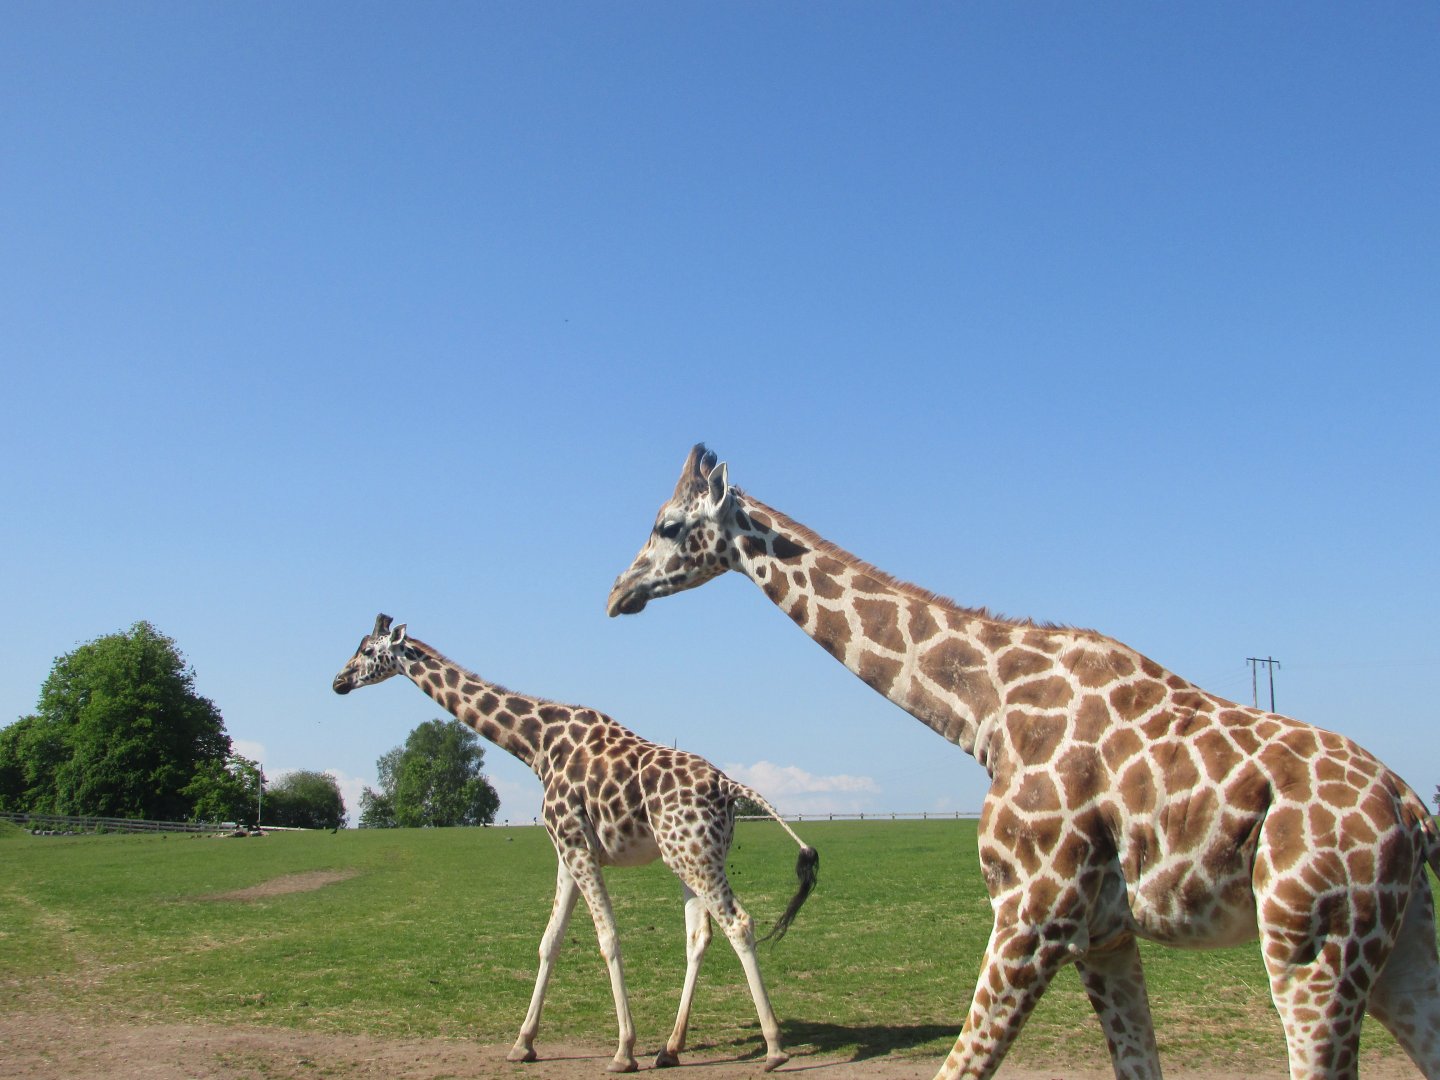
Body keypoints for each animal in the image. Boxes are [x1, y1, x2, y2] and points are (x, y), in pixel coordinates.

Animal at [332, 614, 819, 1073]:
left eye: (367, 650)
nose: (338, 681)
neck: (536, 746)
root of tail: (730, 787)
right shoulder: (566, 851)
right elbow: (550, 941)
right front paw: (522, 1044)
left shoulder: (577, 846)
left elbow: (607, 936)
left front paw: (623, 1051)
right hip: (690, 857)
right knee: (699, 936)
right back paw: (671, 1049)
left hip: (695, 859)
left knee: (739, 924)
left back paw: (774, 1048)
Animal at [606, 444, 1440, 1080]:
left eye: (667, 524)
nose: (617, 592)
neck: (989, 714)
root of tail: (1413, 812)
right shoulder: (1104, 934)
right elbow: (1136, 1064)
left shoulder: (1034, 911)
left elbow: (962, 1066)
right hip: (1397, 947)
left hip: (1310, 945)